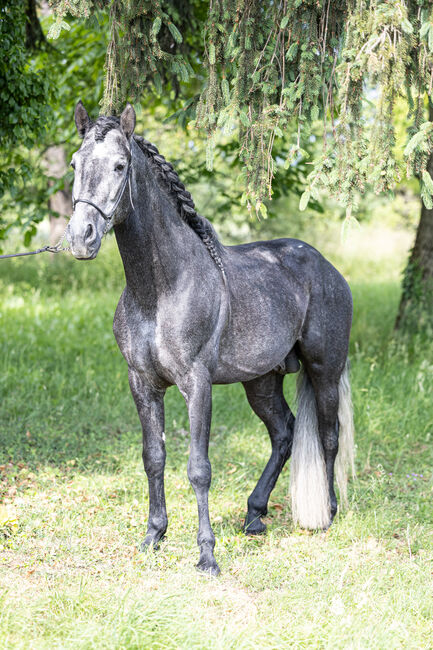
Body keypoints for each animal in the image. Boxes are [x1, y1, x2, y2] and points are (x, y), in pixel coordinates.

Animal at [66, 100, 352, 572]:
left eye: (120, 165)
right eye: (75, 164)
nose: (80, 238)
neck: (159, 289)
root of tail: (327, 267)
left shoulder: (197, 384)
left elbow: (198, 468)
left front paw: (206, 555)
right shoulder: (142, 384)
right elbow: (154, 458)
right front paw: (154, 536)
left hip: (324, 369)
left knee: (329, 437)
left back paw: (327, 514)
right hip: (262, 381)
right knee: (284, 433)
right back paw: (254, 515)